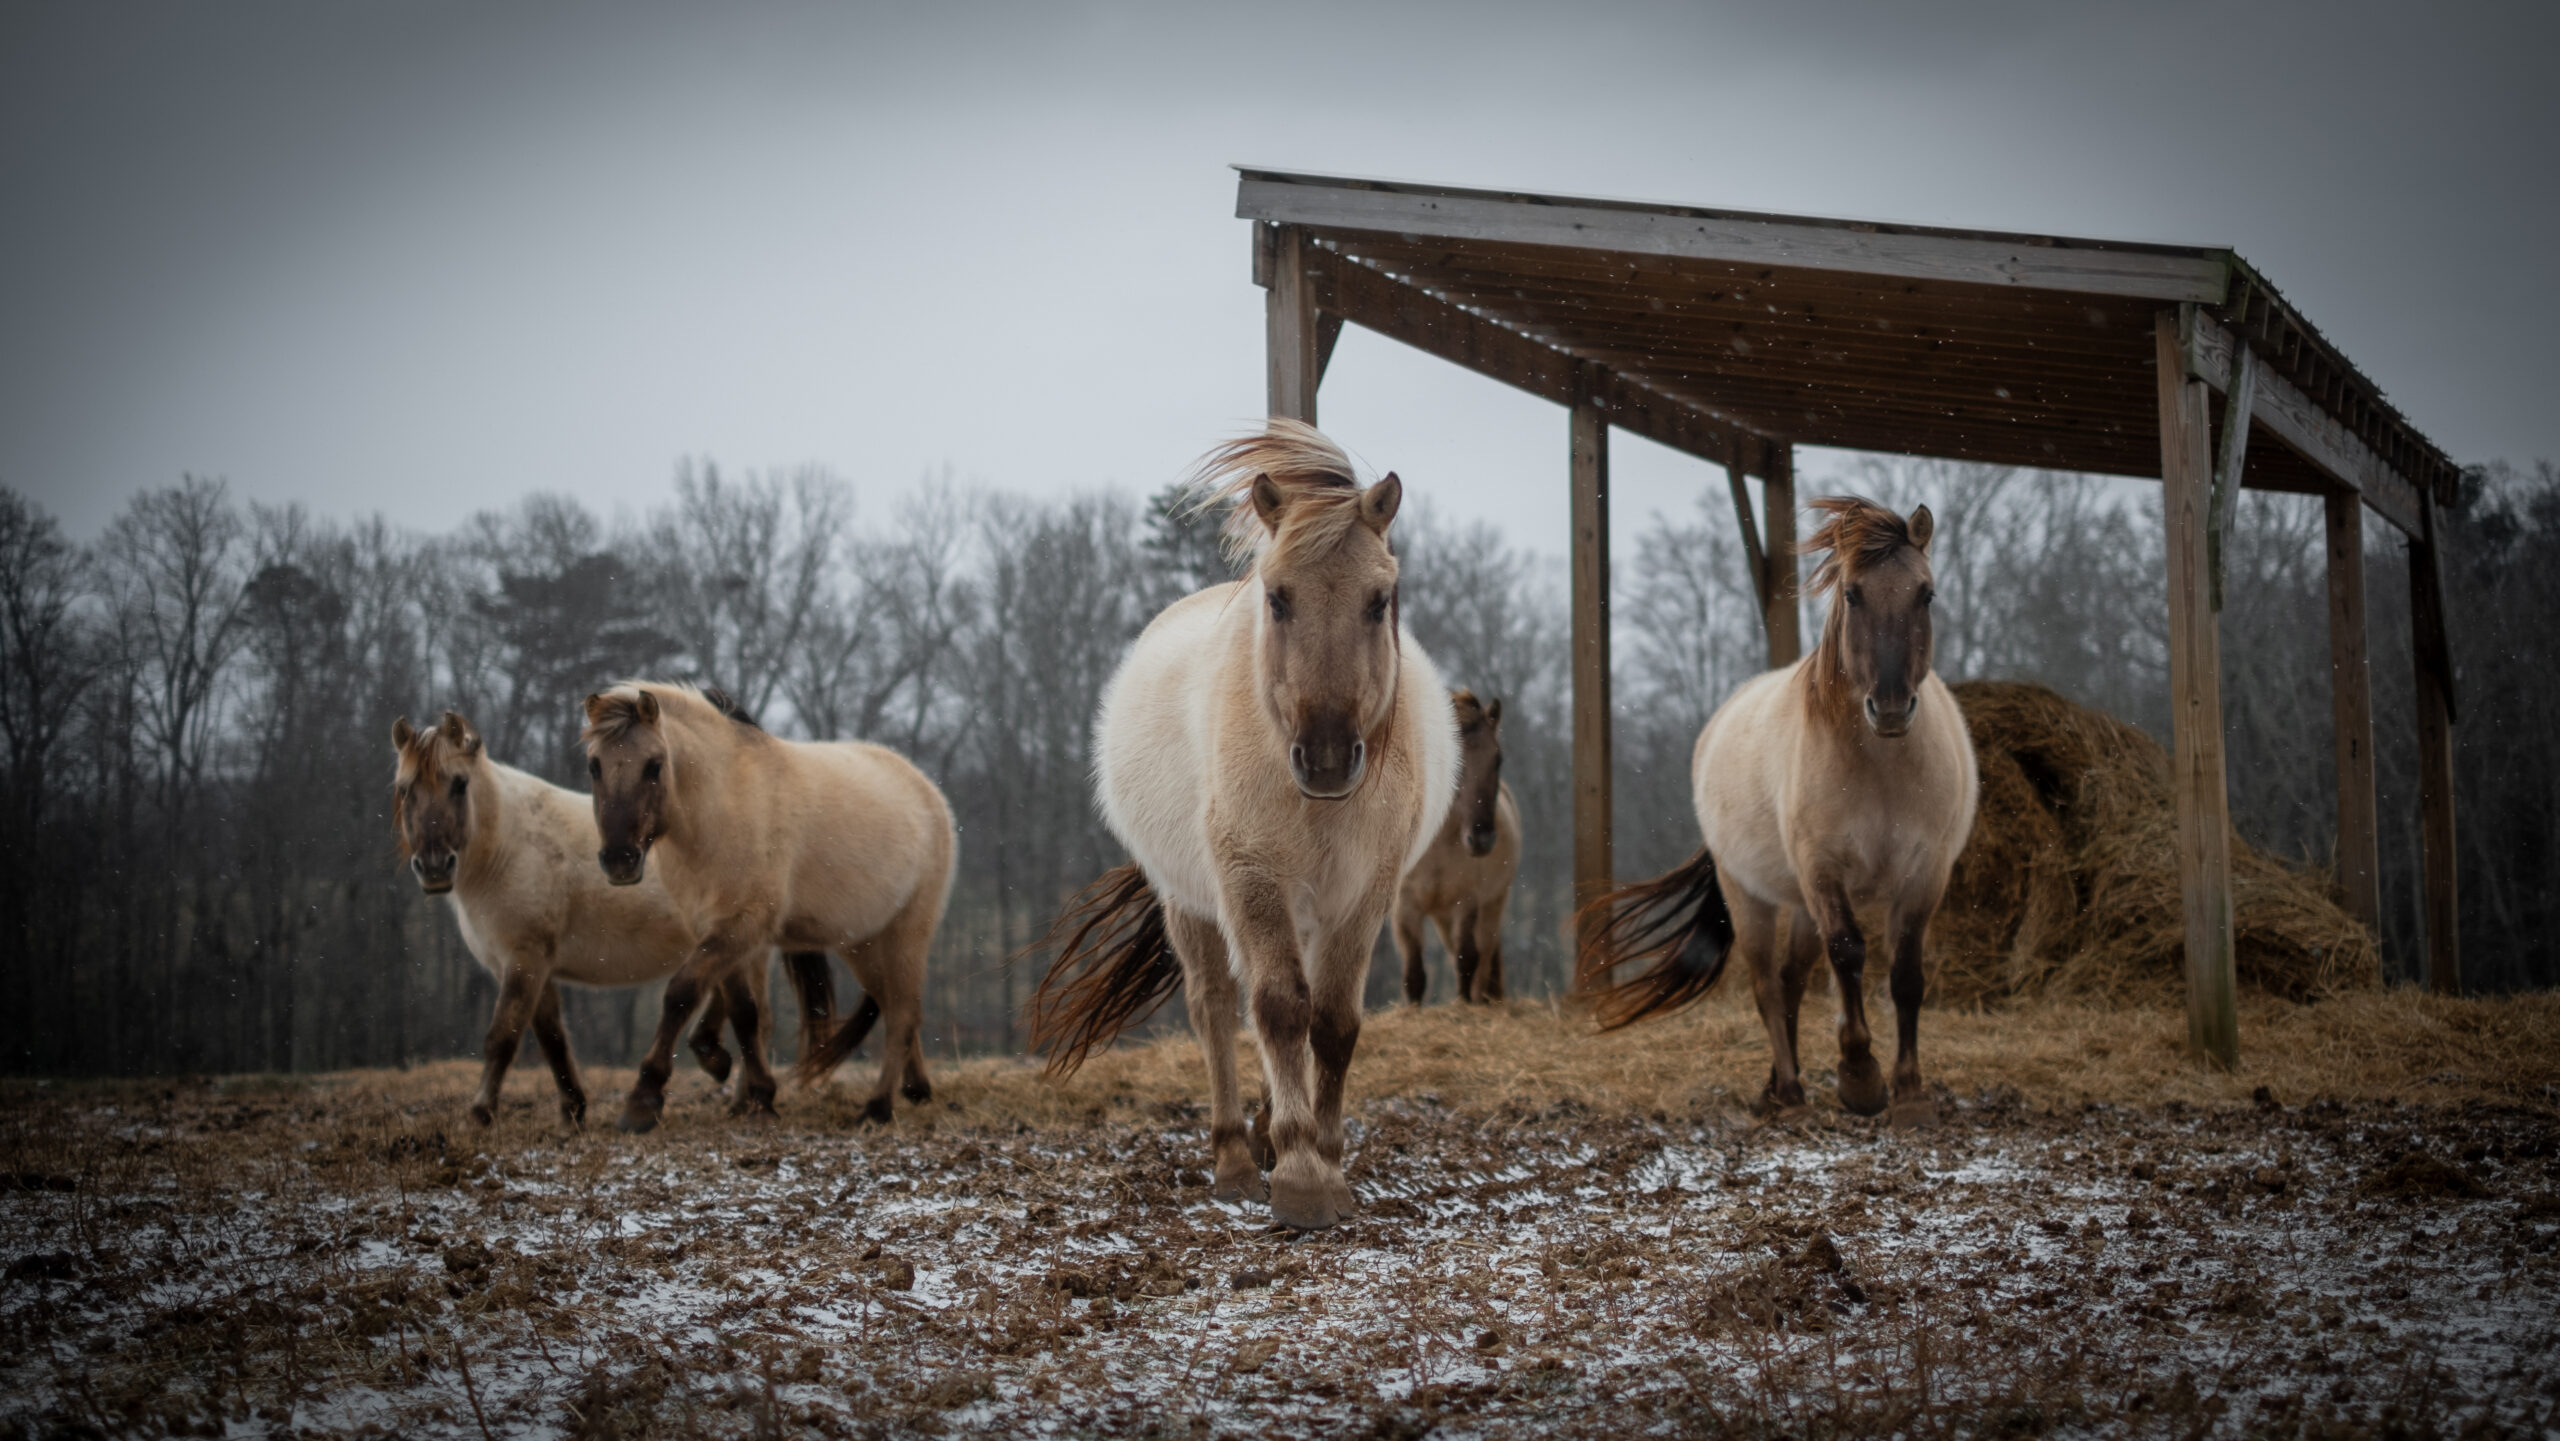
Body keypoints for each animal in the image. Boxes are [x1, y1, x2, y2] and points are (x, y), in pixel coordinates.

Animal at [389, 710, 848, 1128]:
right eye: (405, 789)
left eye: (459, 784)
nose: (434, 867)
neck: (509, 845)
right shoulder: (535, 966)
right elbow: (553, 1038)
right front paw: (573, 1110)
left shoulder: (523, 960)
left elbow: (503, 1036)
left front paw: (481, 1113)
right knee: (741, 1009)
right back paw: (731, 1084)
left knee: (755, 1017)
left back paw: (741, 1094)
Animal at [581, 682, 955, 1130]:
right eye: (595, 766)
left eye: (654, 765)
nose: (619, 860)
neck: (721, 808)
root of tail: (928, 792)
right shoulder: (720, 929)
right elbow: (745, 1011)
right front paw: (754, 1092)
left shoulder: (741, 926)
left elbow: (682, 993)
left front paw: (643, 1101)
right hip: (861, 944)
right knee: (894, 1003)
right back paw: (916, 1089)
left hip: (906, 933)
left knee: (902, 1013)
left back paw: (877, 1108)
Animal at [1029, 420, 1458, 1230]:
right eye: (1278, 598)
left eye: (1379, 600)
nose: (1327, 757)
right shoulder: (1251, 879)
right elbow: (1279, 1009)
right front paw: (1300, 1178)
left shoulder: (1363, 894)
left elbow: (1334, 1022)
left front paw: (1323, 1155)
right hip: (1190, 901)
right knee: (1217, 1008)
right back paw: (1234, 1155)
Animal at [1394, 690, 1521, 1005]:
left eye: (1497, 759)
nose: (1482, 839)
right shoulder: (1406, 906)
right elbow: (1414, 974)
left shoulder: (1467, 901)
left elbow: (1467, 959)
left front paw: (1463, 1005)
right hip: (1442, 915)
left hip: (1493, 904)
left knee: (1483, 958)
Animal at [1576, 496, 1978, 1128]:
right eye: (1852, 595)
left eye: (1927, 594)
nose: (1890, 707)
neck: (1881, 766)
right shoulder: (1823, 870)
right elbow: (1849, 955)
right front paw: (1860, 1079)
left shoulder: (1924, 874)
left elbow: (1906, 976)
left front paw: (1910, 1092)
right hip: (1753, 896)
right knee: (1768, 984)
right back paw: (1788, 1094)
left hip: (1803, 904)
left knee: (1790, 982)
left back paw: (1775, 1087)